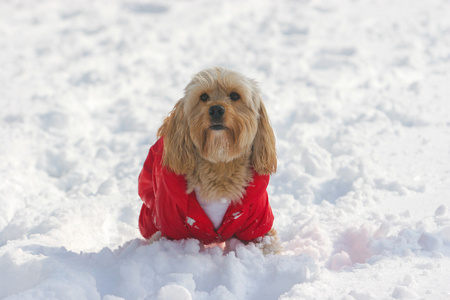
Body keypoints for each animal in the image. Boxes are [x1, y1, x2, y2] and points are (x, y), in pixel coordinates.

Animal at [137, 67, 282, 254]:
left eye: (235, 95)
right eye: (203, 97)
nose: (216, 110)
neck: (219, 163)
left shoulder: (258, 223)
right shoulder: (169, 226)